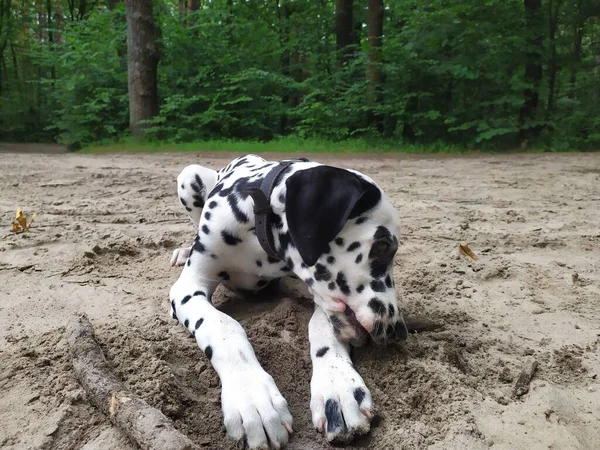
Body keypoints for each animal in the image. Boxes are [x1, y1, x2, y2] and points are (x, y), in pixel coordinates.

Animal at [166, 154, 406, 446]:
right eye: (383, 245)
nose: (398, 331)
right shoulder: (189, 287)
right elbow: (223, 326)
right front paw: (252, 398)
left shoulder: (315, 290)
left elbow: (322, 326)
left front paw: (338, 387)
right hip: (189, 177)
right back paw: (183, 249)